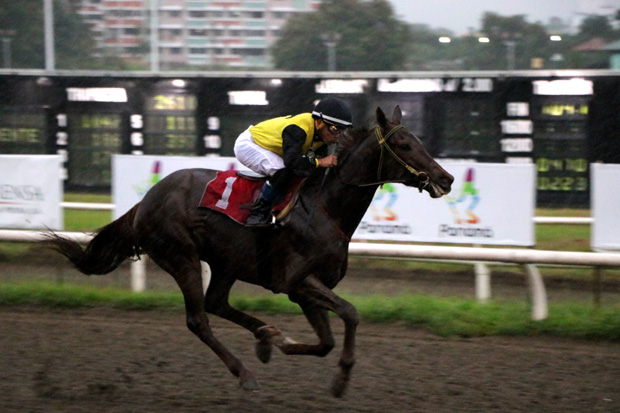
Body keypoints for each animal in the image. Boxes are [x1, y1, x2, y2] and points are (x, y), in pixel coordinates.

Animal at [48, 105, 452, 396]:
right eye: (405, 145)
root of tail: (146, 200)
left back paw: (265, 336)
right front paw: (340, 380)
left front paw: (281, 342)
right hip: (181, 256)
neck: (325, 209)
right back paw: (245, 373)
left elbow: (325, 341)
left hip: (225, 262)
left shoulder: (306, 289)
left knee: (216, 304)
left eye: (420, 142)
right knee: (199, 319)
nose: (446, 179)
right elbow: (350, 314)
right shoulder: (296, 282)